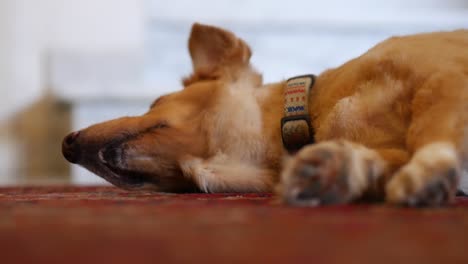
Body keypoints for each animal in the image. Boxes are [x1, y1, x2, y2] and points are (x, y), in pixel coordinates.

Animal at [62, 22, 468, 206]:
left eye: (157, 101)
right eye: (185, 182)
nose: (67, 145)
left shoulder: (446, 75)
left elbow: (429, 132)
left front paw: (428, 171)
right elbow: (382, 164)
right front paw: (337, 168)